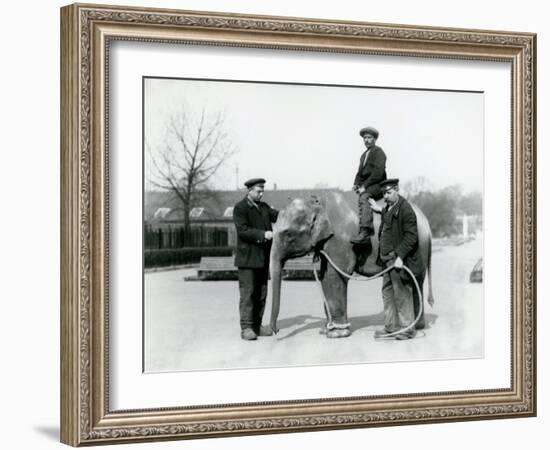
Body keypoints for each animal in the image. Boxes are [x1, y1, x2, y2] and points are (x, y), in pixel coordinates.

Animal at [270, 192, 436, 340]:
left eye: (287, 234)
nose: (275, 331)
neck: (317, 200)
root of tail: (427, 224)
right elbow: (324, 276)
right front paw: (326, 330)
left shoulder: (340, 240)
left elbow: (334, 276)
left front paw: (336, 334)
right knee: (413, 282)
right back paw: (408, 328)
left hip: (418, 247)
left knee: (409, 280)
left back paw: (407, 331)